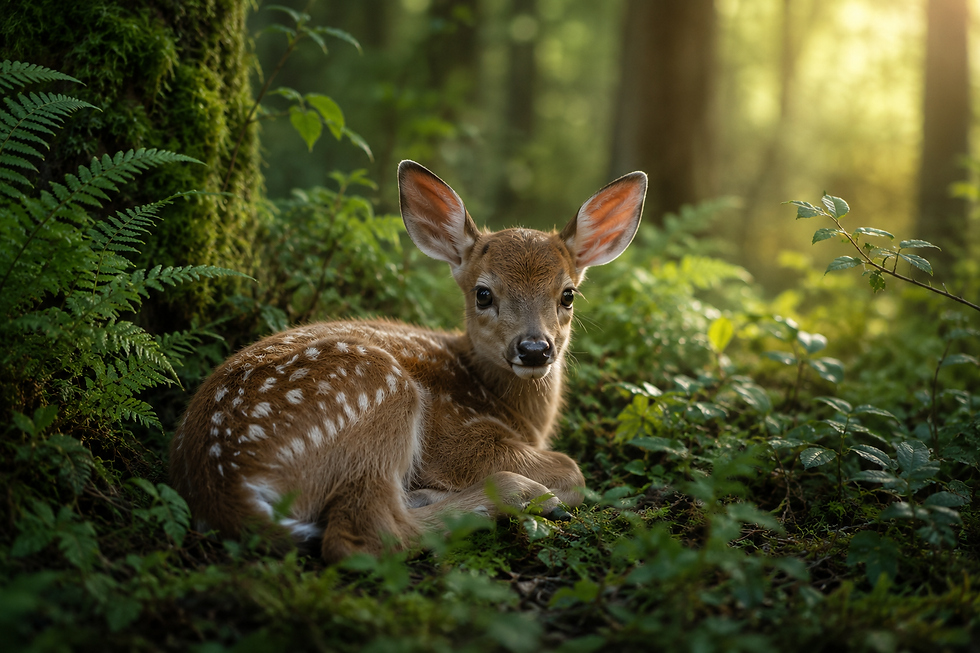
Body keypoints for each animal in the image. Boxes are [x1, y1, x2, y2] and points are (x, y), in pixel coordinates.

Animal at [169, 160, 647, 563]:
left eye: (567, 294)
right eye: (483, 293)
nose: (534, 349)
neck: (513, 410)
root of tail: (224, 486)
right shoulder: (460, 438)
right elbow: (572, 470)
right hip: (380, 393)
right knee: (362, 535)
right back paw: (518, 495)